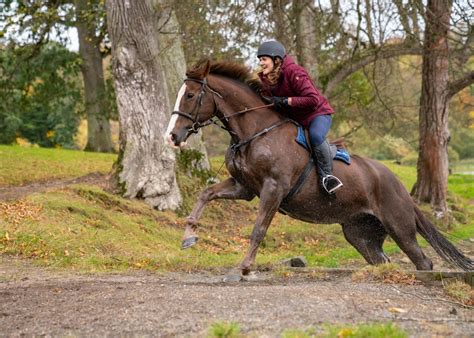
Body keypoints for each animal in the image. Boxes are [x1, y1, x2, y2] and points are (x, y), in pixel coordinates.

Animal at [165, 58, 472, 274]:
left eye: (190, 95)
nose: (172, 136)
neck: (255, 131)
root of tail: (399, 184)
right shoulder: (245, 187)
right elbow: (206, 194)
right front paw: (189, 237)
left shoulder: (273, 189)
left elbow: (258, 229)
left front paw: (243, 268)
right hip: (360, 232)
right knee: (381, 259)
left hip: (399, 225)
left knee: (423, 261)